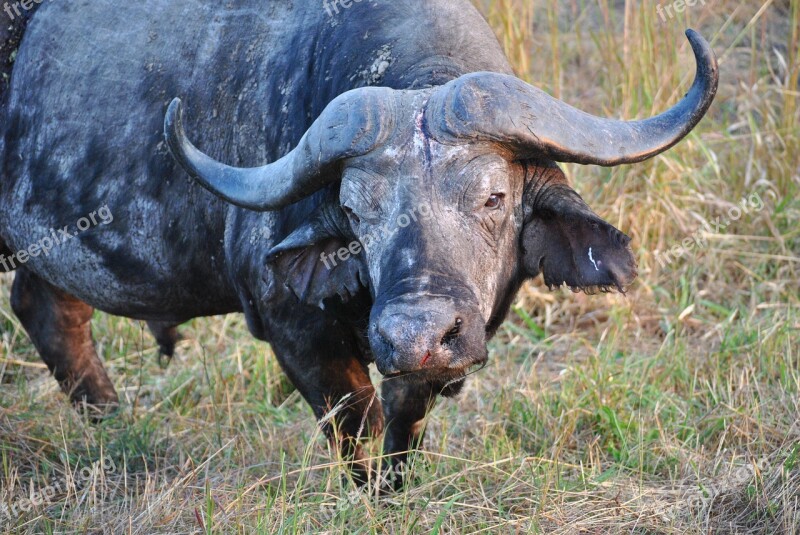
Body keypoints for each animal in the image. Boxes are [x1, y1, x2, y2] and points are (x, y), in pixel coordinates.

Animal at [0, 0, 716, 486]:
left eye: (494, 197)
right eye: (354, 210)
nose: (416, 333)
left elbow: (405, 418)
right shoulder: (294, 330)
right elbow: (358, 422)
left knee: (47, 308)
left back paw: (111, 422)